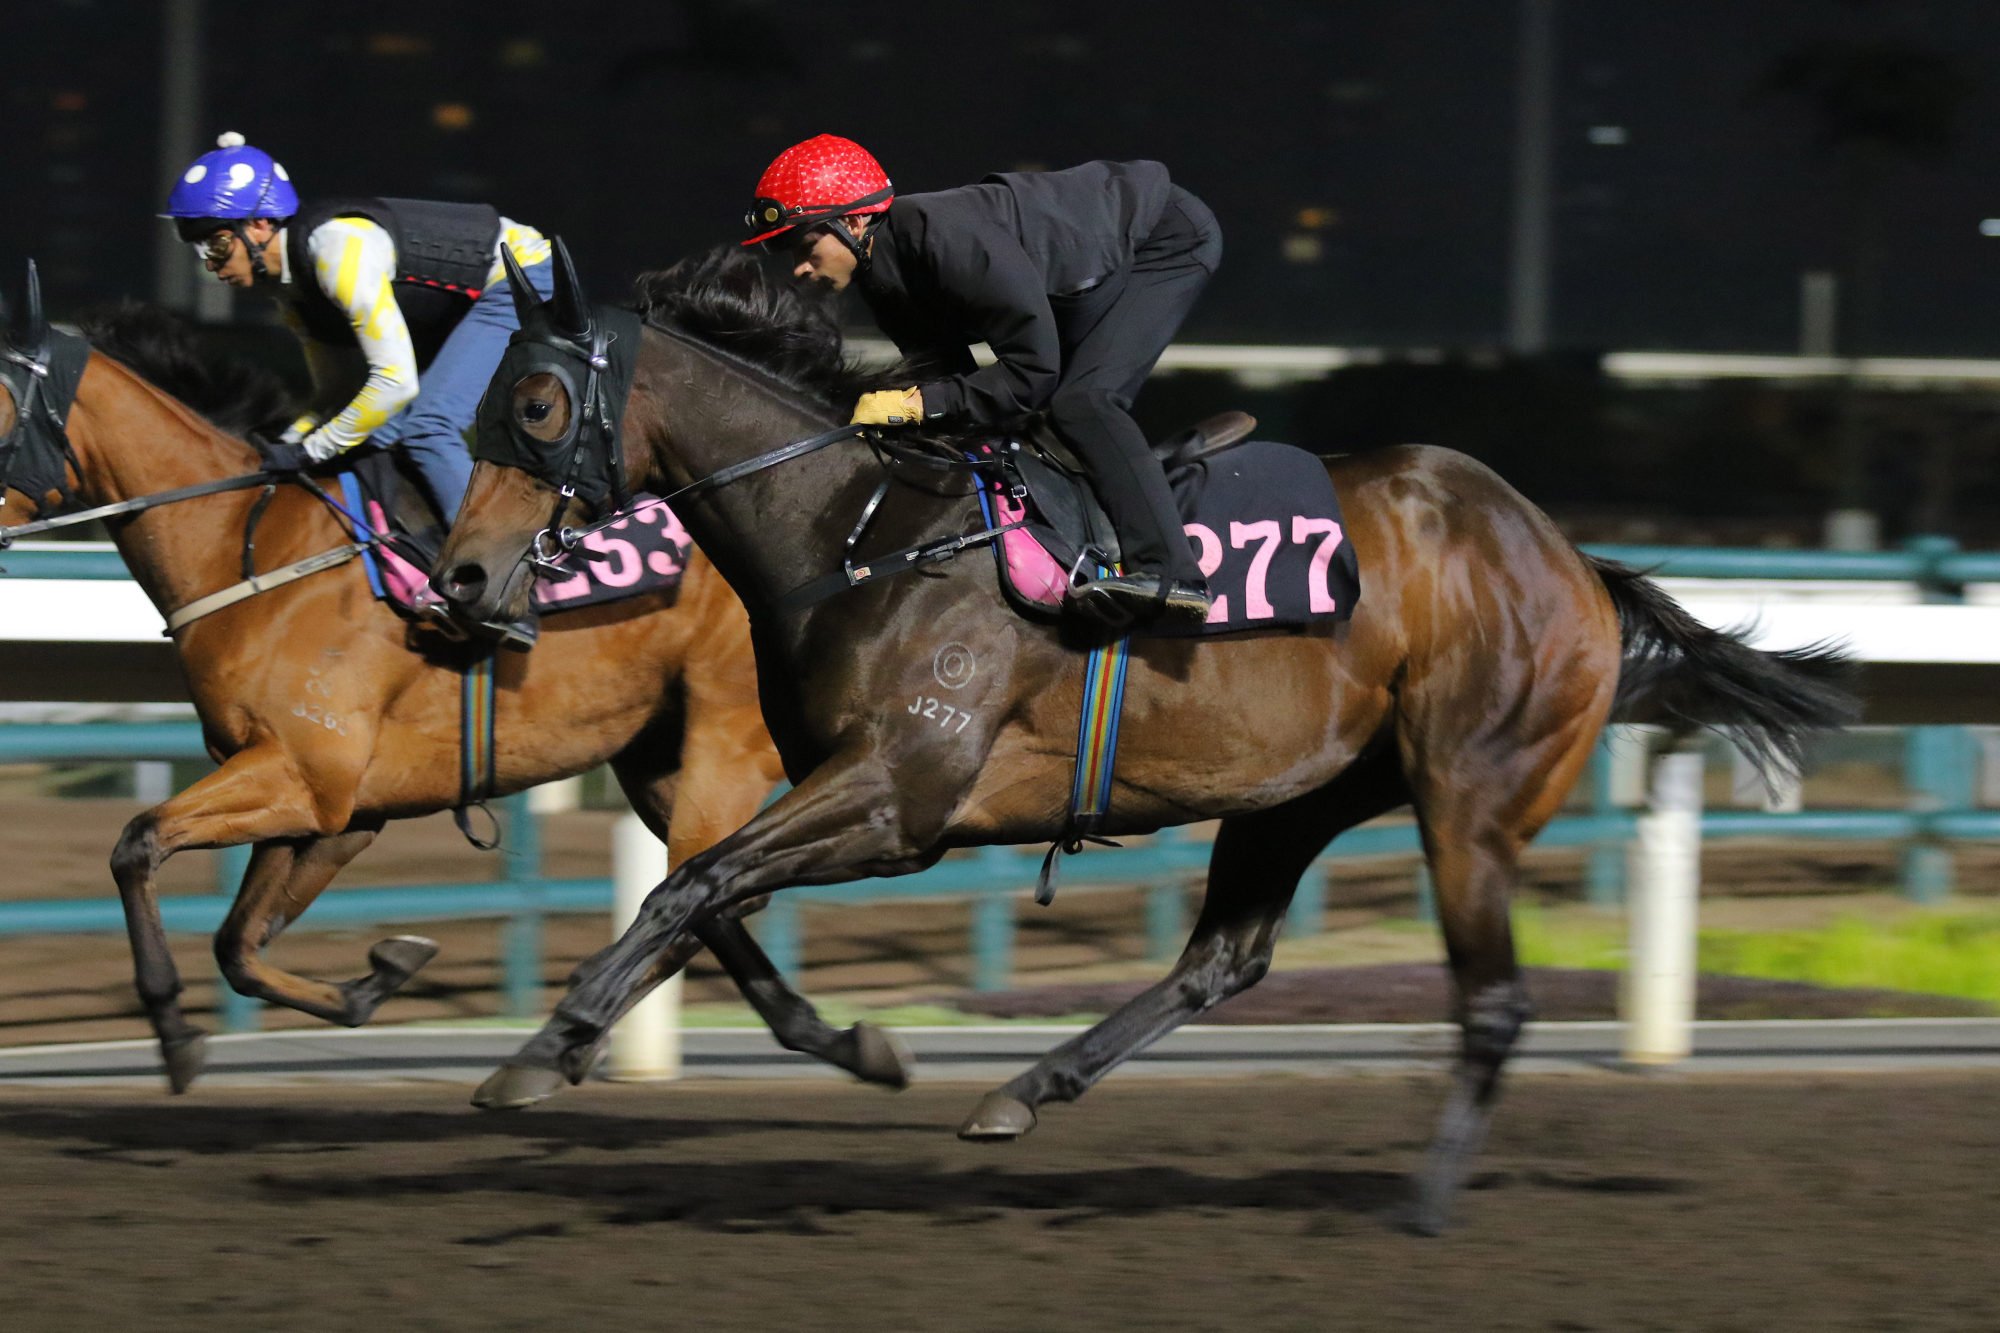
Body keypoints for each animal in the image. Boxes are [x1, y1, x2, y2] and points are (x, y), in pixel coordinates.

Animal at [0, 278, 908, 1088]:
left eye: (1, 409)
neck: (246, 551)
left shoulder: (305, 777)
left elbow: (138, 843)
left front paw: (174, 1031)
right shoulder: (335, 810)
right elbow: (238, 944)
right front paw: (377, 977)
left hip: (728, 741)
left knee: (711, 883)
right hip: (655, 756)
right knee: (713, 893)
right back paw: (832, 1041)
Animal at [430, 246, 1848, 1224]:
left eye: (537, 406)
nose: (460, 578)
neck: (861, 525)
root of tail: (1565, 556)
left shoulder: (901, 795)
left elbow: (693, 885)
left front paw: (551, 1042)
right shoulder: (823, 780)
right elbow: (702, 890)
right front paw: (821, 1045)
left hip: (1470, 792)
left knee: (1490, 1001)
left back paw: (1421, 1203)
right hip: (1299, 794)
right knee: (1221, 961)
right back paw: (1022, 1090)